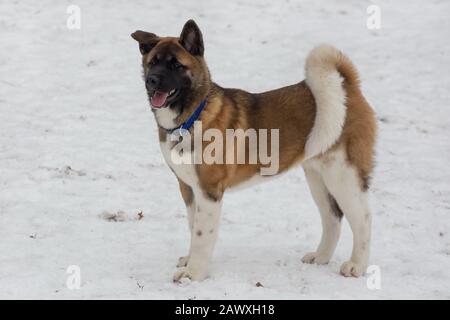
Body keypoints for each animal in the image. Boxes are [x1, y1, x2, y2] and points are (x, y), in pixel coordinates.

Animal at [130, 20, 376, 282]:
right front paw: (191, 261)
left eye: (176, 65)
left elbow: (201, 234)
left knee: (363, 219)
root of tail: (348, 88)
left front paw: (194, 273)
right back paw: (320, 257)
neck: (193, 116)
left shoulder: (208, 191)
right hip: (317, 177)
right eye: (153, 62)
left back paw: (356, 265)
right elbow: (193, 226)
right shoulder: (188, 188)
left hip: (342, 175)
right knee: (332, 217)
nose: (152, 80)